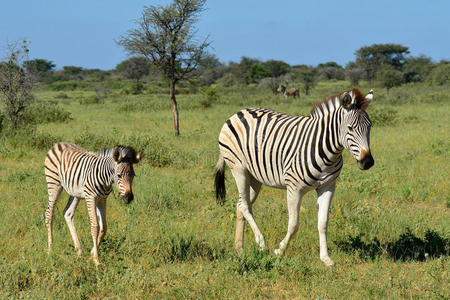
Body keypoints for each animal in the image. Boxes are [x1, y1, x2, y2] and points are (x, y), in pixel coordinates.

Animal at [214, 88, 372, 266]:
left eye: (370, 127)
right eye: (350, 128)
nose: (368, 162)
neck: (328, 151)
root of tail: (238, 112)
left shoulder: (328, 186)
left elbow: (323, 223)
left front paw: (326, 258)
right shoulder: (294, 188)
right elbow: (294, 224)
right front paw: (279, 251)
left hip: (254, 177)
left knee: (240, 205)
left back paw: (240, 249)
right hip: (238, 168)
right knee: (245, 206)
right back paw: (261, 243)